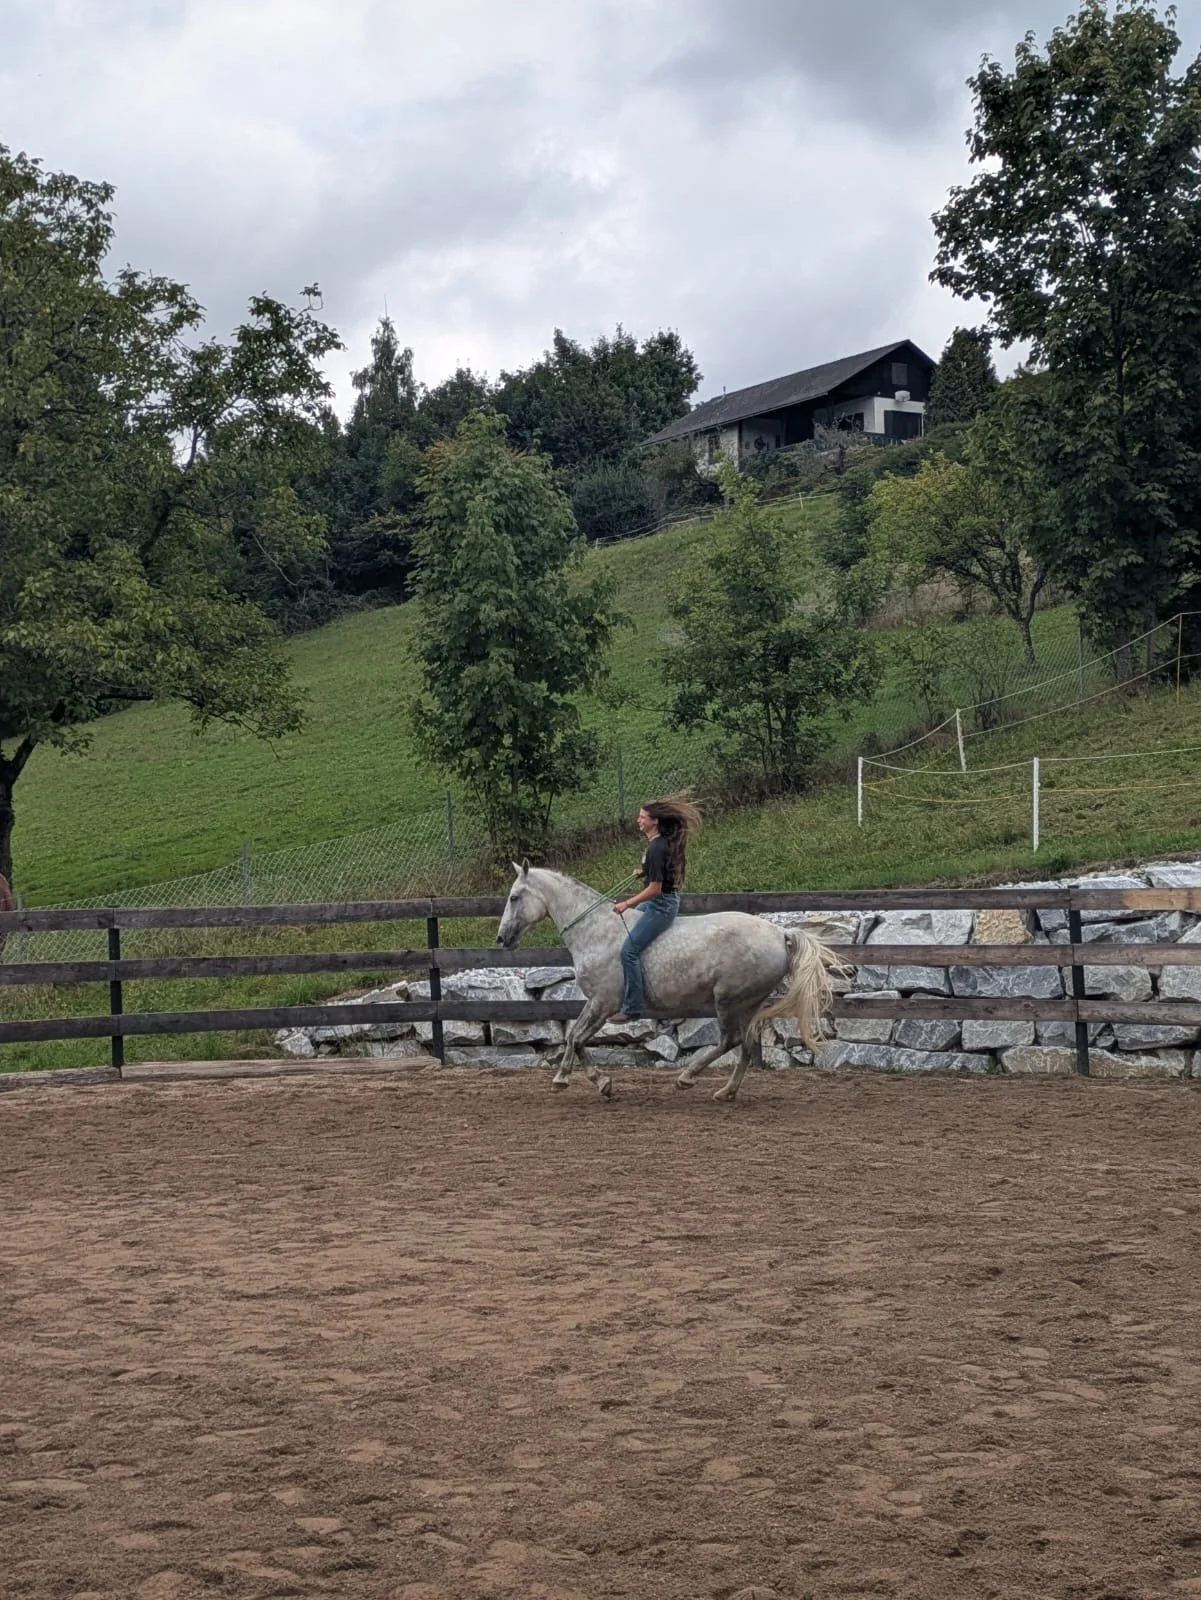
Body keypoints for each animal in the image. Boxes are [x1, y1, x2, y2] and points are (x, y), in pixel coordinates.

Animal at [495, 862, 840, 1102]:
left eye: (514, 897)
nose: (501, 938)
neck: (595, 932)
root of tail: (779, 932)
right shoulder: (594, 1002)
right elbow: (572, 1038)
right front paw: (592, 1081)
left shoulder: (603, 1003)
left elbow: (577, 1039)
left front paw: (572, 1080)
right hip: (749, 1003)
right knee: (746, 1045)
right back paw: (726, 1092)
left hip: (728, 1001)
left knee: (730, 1041)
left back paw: (686, 1078)